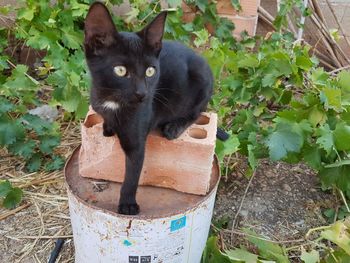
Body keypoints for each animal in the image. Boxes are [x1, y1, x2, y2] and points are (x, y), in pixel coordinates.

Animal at [85, 2, 216, 217]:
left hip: (202, 80)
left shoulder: (136, 143)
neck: (113, 102)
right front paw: (108, 126)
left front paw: (127, 204)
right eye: (120, 70)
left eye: (150, 71)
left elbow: (132, 175)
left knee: (199, 110)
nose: (142, 94)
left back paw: (174, 127)